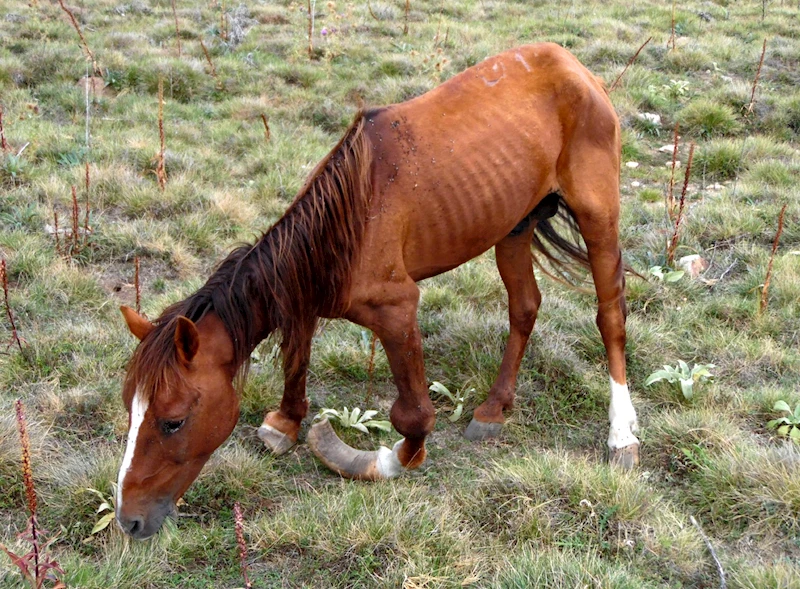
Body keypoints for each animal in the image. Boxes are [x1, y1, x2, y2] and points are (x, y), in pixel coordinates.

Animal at [115, 41, 636, 536]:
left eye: (173, 421)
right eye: (130, 408)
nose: (128, 520)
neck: (346, 222)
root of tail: (574, 67)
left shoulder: (397, 310)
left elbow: (414, 417)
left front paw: (382, 460)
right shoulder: (304, 295)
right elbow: (295, 359)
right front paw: (286, 422)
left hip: (598, 215)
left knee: (609, 315)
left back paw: (622, 434)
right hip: (513, 225)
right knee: (525, 307)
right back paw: (493, 408)